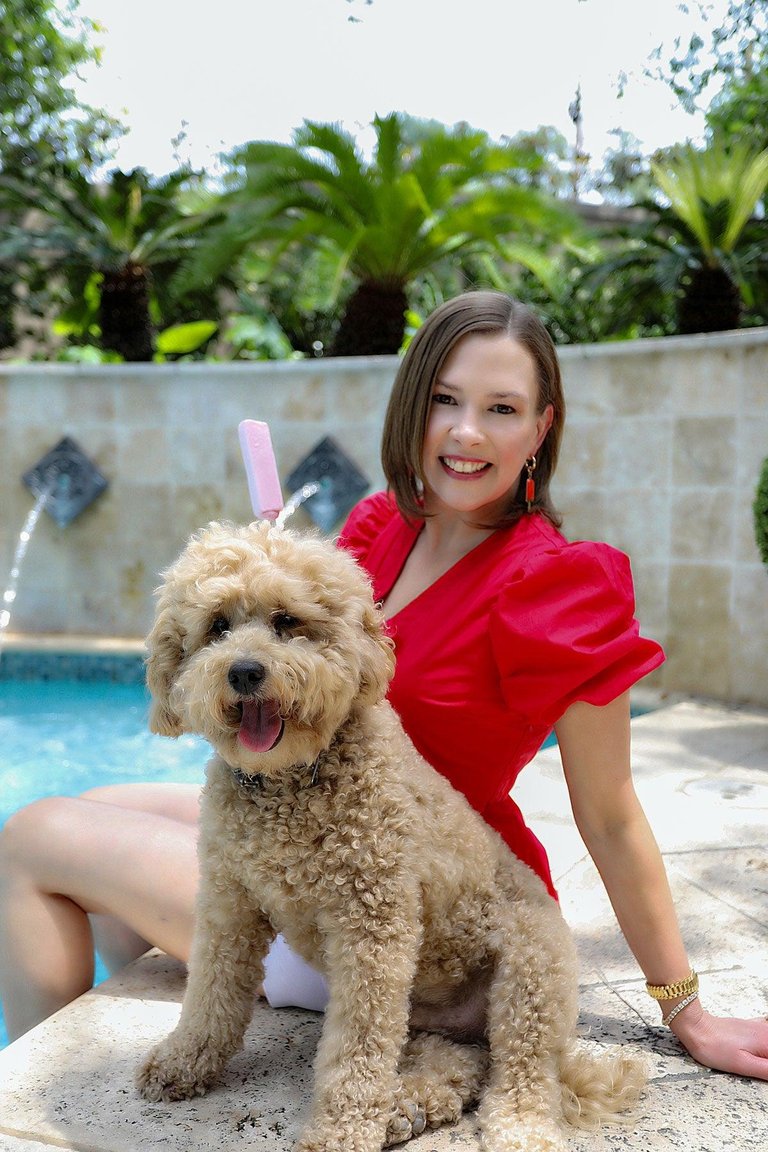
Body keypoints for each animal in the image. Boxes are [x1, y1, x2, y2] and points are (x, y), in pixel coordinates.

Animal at [135, 523, 644, 1152]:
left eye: (285, 620)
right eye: (218, 626)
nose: (246, 672)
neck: (291, 782)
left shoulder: (372, 926)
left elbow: (357, 1048)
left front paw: (341, 1130)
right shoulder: (229, 907)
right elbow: (210, 995)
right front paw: (183, 1064)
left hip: (531, 974)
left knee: (521, 1073)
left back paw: (514, 1128)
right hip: (432, 1026)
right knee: (460, 1064)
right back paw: (408, 1106)